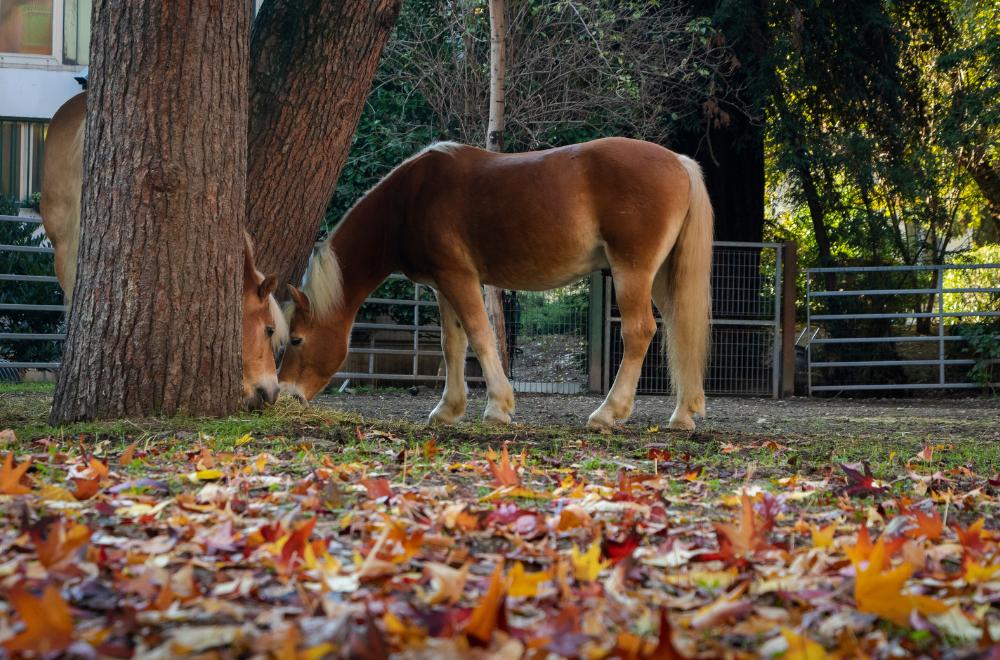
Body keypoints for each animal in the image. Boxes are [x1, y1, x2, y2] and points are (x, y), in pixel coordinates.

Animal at [279, 137, 713, 430]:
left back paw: (608, 412)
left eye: (296, 339)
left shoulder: (459, 277)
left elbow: (480, 335)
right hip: (660, 278)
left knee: (640, 332)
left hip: (631, 273)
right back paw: (683, 413)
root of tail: (677, 161)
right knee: (679, 330)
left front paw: (498, 407)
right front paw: (448, 409)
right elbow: (452, 344)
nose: (284, 393)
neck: (409, 199)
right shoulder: (442, 284)